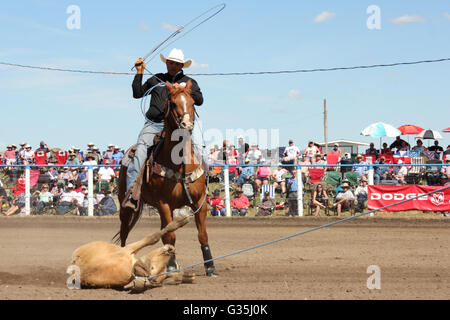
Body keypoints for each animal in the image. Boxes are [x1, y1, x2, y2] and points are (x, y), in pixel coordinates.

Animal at [116, 80, 218, 278]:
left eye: (192, 102)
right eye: (173, 103)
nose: (186, 124)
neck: (180, 164)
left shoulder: (199, 202)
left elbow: (202, 234)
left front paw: (210, 267)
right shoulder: (164, 204)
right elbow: (170, 236)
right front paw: (171, 267)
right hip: (126, 207)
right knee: (124, 232)